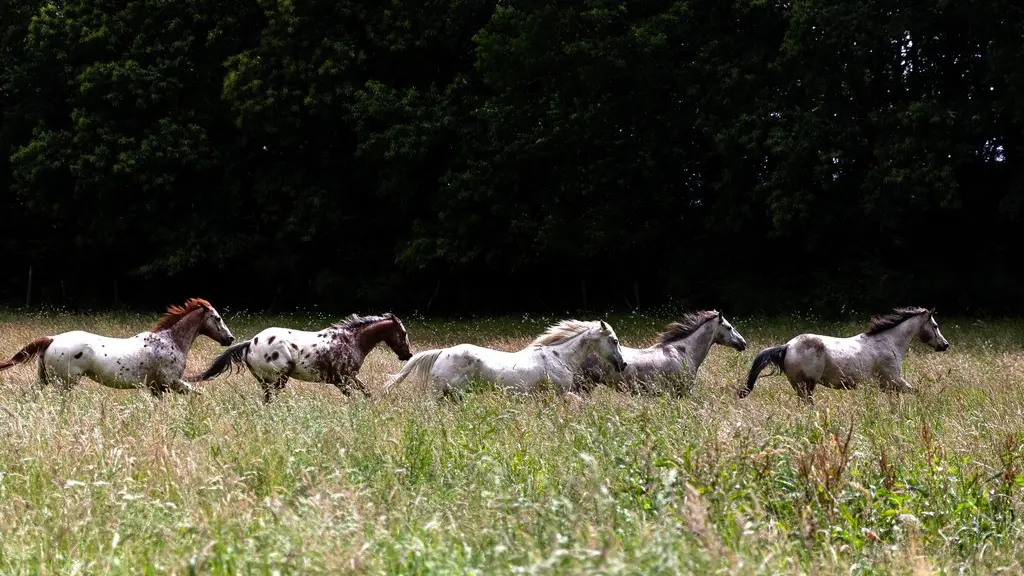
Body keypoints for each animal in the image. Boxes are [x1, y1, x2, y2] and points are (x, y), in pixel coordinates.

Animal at [0, 295, 234, 393]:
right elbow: (198, 394)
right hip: (64, 383)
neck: (170, 341)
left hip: (44, 379)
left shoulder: (157, 387)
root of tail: (52, 338)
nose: (229, 339)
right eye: (217, 318)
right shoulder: (171, 382)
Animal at [190, 311, 413, 401]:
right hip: (279, 378)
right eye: (403, 333)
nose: (408, 354)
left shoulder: (350, 377)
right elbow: (354, 397)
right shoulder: (342, 380)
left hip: (267, 381)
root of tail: (251, 342)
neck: (351, 341)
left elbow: (366, 393)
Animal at [737, 305, 950, 403]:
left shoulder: (888, 386)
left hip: (800, 386)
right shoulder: (894, 380)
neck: (889, 343)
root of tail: (788, 346)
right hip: (807, 385)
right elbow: (915, 391)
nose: (945, 345)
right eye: (935, 325)